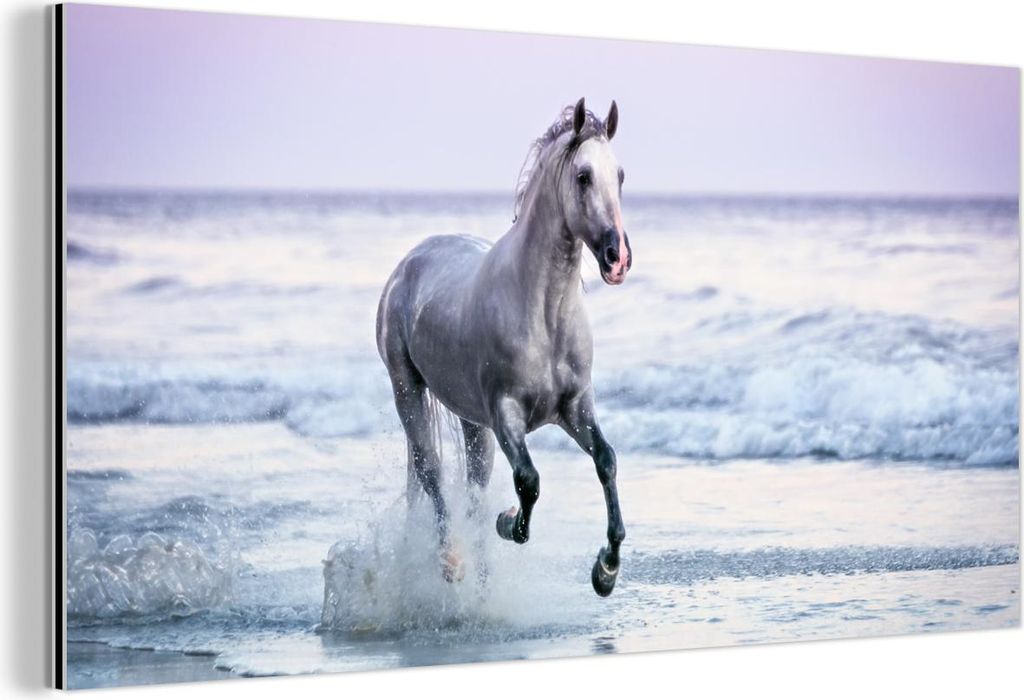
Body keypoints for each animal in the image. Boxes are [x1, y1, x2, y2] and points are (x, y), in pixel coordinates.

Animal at [375, 98, 632, 597]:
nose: (618, 258)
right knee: (432, 472)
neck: (544, 313)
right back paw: (451, 560)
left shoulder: (574, 407)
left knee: (473, 489)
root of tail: (408, 263)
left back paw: (481, 583)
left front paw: (606, 571)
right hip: (408, 391)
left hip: (471, 422)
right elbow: (528, 482)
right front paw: (509, 522)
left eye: (621, 175)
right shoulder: (506, 414)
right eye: (583, 176)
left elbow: (606, 461)